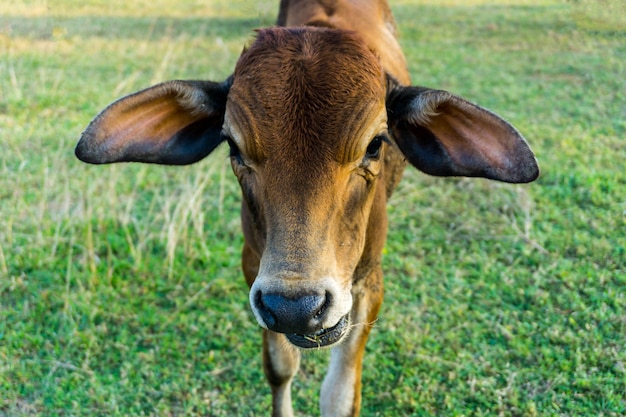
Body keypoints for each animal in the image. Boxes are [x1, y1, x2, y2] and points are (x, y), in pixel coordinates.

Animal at [74, 1, 536, 414]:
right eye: (233, 145)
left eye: (375, 144)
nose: (295, 308)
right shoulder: (252, 266)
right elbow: (279, 368)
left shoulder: (369, 284)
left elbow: (340, 395)